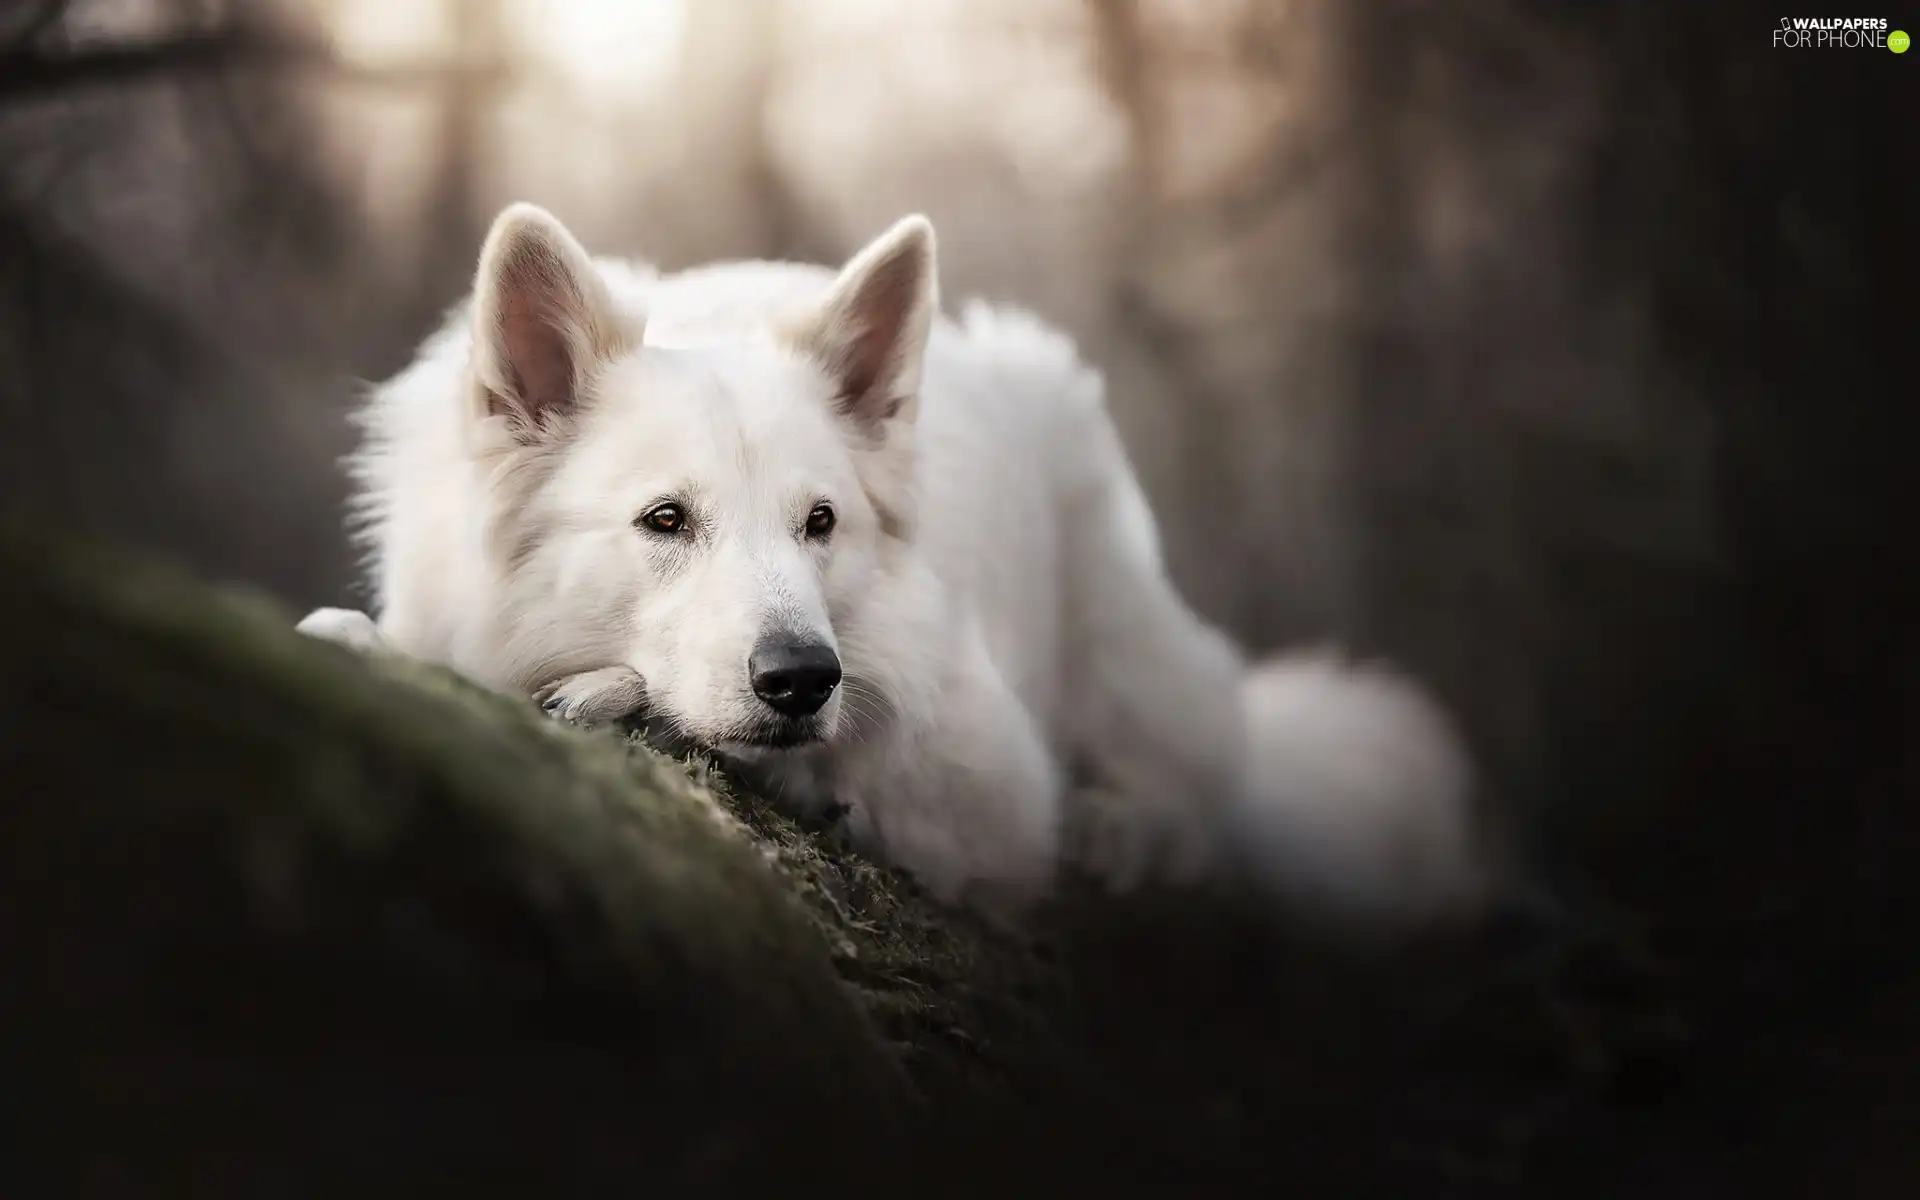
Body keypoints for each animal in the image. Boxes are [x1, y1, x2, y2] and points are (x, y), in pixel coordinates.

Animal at [303, 201, 1482, 921]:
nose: (801, 679)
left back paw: (1130, 823)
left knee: (1201, 779)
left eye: (821, 523)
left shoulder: (990, 784)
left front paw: (619, 698)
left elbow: (848, 763)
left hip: (1124, 634)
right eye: (665, 521)